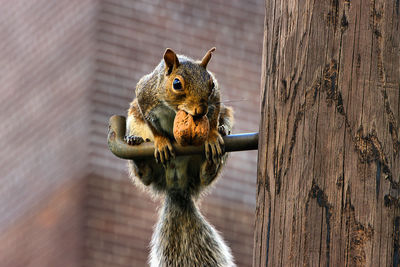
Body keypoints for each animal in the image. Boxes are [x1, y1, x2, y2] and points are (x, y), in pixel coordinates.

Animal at [126, 48, 234, 267]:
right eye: (177, 84)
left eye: (211, 84)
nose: (200, 111)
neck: (174, 109)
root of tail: (177, 186)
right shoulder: (144, 94)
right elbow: (152, 124)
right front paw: (161, 142)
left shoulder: (216, 98)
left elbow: (214, 114)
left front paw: (212, 135)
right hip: (133, 121)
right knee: (145, 176)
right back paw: (136, 149)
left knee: (205, 176)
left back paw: (214, 154)